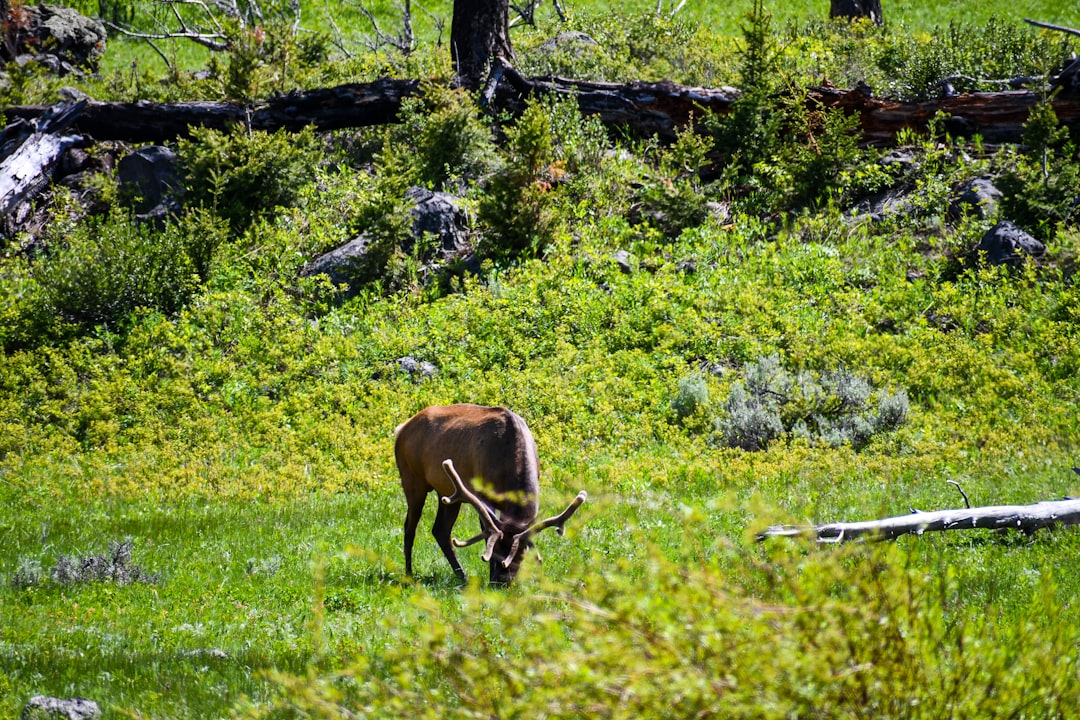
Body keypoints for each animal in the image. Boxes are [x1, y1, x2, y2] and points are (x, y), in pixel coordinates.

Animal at [393, 405, 587, 587]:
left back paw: (462, 576)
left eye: (521, 556)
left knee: (440, 530)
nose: (502, 583)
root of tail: (401, 428)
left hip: (448, 493)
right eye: (495, 554)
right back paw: (409, 574)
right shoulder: (483, 495)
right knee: (409, 527)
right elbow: (486, 533)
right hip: (411, 478)